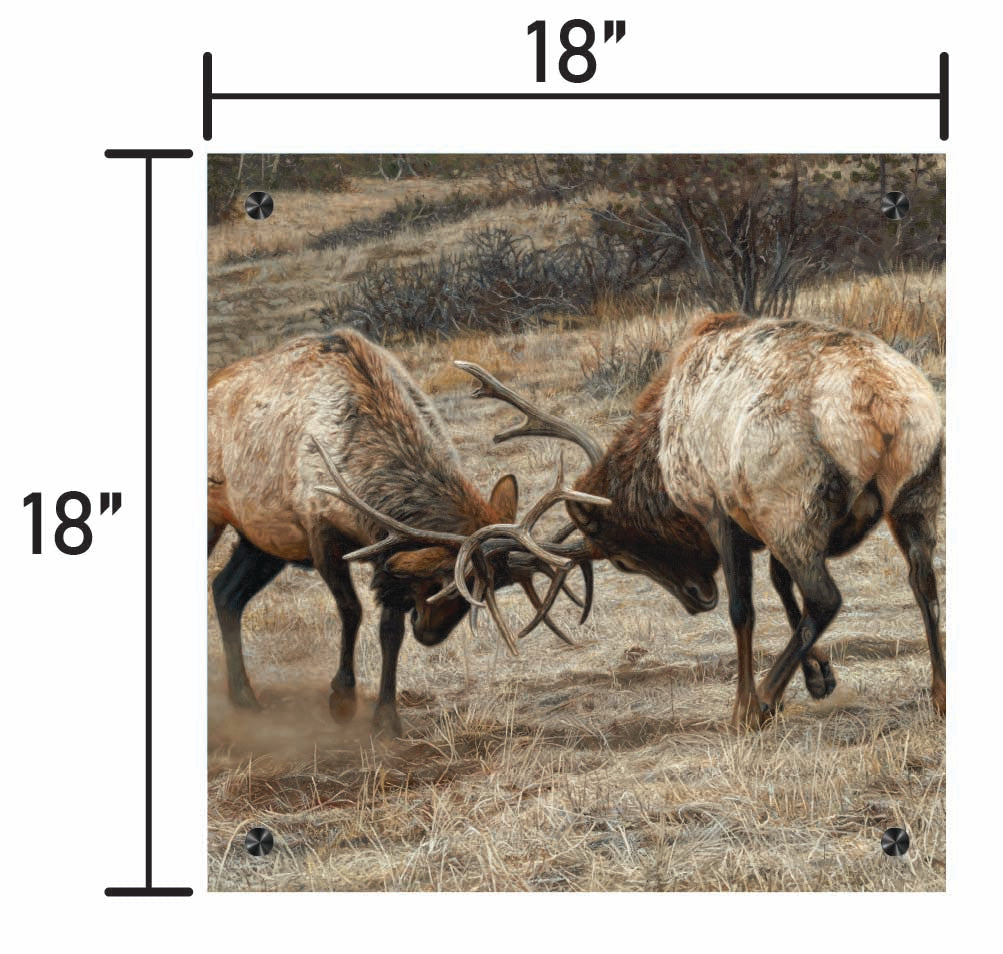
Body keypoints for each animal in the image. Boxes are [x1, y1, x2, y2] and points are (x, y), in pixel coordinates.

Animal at [208, 330, 605, 735]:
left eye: (490, 588)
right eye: (446, 580)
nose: (430, 634)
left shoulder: (383, 554)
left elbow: (390, 633)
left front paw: (386, 718)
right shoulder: (320, 533)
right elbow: (351, 610)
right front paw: (342, 699)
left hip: (263, 542)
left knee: (225, 591)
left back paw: (244, 698)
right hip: (221, 520)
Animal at [451, 313, 945, 728]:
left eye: (622, 560)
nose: (697, 598)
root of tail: (884, 406)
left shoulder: (721, 512)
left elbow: (743, 610)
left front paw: (748, 702)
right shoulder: (757, 520)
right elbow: (781, 587)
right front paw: (819, 677)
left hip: (791, 503)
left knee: (826, 598)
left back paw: (761, 701)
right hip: (915, 494)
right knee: (922, 582)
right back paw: (939, 692)